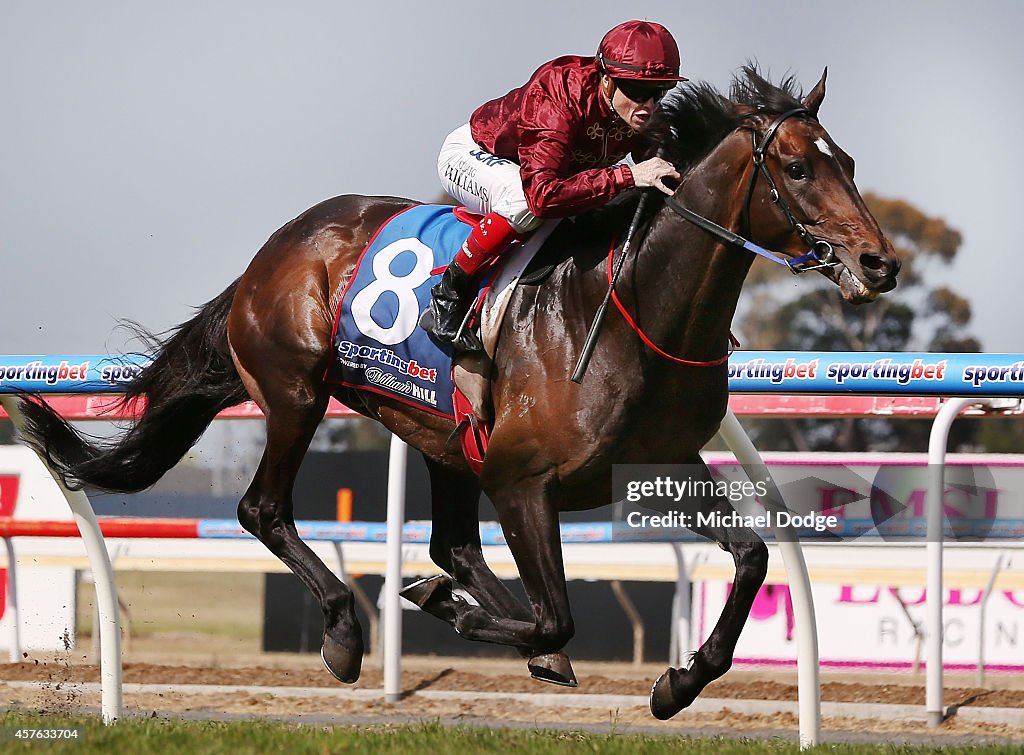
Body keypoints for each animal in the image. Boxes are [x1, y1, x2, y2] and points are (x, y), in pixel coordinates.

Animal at [16, 67, 897, 717]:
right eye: (797, 167)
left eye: (851, 163)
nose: (880, 262)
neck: (632, 305)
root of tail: (277, 248)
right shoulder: (522, 478)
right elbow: (559, 608)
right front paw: (456, 613)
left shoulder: (659, 464)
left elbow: (751, 559)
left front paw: (678, 681)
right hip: (299, 394)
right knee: (264, 509)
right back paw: (348, 629)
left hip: (440, 434)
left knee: (454, 546)